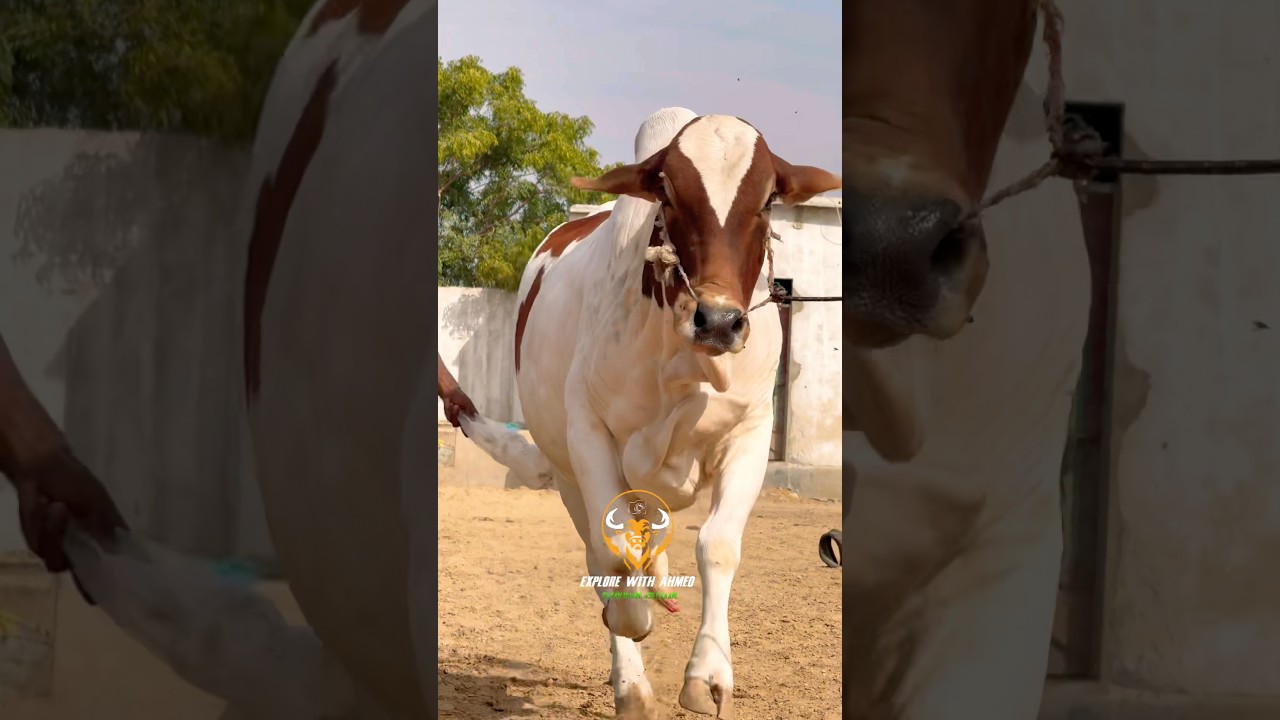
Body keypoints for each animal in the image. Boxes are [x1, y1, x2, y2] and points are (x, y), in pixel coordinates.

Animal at [462, 106, 841, 719]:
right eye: (668, 193)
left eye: (767, 200)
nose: (719, 320)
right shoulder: (588, 436)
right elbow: (613, 558)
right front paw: (630, 620)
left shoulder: (751, 435)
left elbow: (718, 546)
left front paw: (709, 674)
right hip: (566, 471)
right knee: (603, 554)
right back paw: (631, 678)